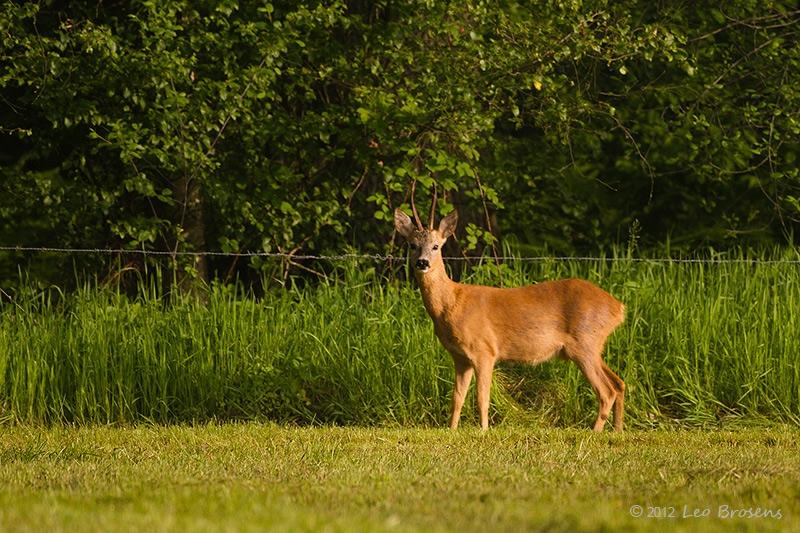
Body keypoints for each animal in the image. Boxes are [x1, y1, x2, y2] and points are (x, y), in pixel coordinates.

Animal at [394, 200, 624, 432]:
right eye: (412, 245)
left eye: (436, 246)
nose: (422, 263)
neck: (451, 304)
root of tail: (619, 307)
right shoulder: (460, 357)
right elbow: (457, 398)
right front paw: (452, 430)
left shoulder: (484, 350)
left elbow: (482, 398)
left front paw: (483, 430)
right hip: (592, 346)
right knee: (619, 383)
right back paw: (617, 430)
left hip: (584, 343)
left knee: (607, 391)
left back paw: (595, 432)